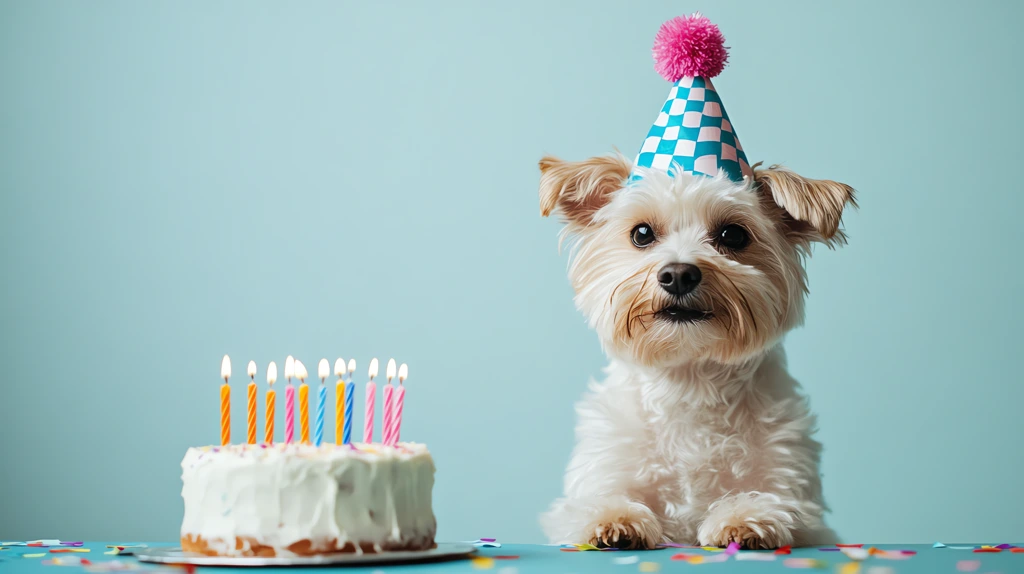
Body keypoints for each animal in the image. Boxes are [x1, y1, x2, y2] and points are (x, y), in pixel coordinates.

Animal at [540, 154, 851, 548]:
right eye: (642, 233)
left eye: (733, 235)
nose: (678, 274)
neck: (690, 380)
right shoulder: (598, 475)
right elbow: (591, 505)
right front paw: (615, 518)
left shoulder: (798, 497)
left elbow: (779, 505)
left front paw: (745, 517)